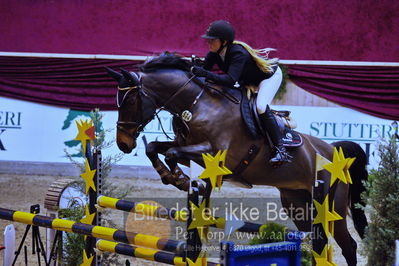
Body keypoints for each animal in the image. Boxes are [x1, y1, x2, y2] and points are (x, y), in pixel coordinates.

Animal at [106, 54, 368, 266]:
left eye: (130, 101)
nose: (123, 144)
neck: (197, 103)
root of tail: (333, 151)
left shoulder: (216, 155)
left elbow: (172, 153)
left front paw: (181, 179)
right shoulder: (186, 145)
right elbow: (154, 148)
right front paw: (172, 176)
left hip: (331, 205)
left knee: (348, 245)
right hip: (298, 204)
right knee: (316, 240)